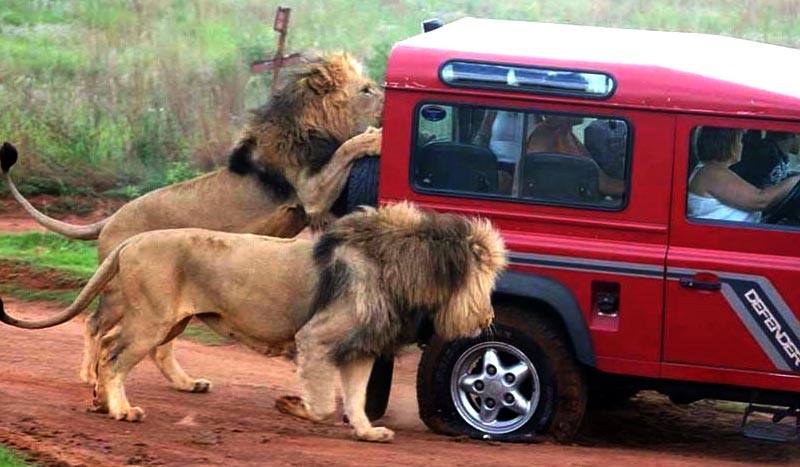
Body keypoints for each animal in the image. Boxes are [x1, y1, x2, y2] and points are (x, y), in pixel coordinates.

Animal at [0, 53, 383, 389]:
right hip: (119, 292)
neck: (312, 122)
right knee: (95, 325)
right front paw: (373, 138)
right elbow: (345, 149)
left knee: (159, 346)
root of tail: (108, 220)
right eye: (366, 90)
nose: (384, 93)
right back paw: (90, 377)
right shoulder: (310, 193)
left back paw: (186, 383)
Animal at [0, 202, 507, 443]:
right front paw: (291, 405)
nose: (488, 317)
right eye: (484, 279)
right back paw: (120, 409)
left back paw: (111, 400)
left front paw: (368, 433)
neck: (398, 269)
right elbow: (324, 403)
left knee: (124, 347)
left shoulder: (360, 348)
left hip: (169, 319)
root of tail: (132, 240)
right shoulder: (316, 338)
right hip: (150, 319)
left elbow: (357, 399)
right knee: (112, 354)